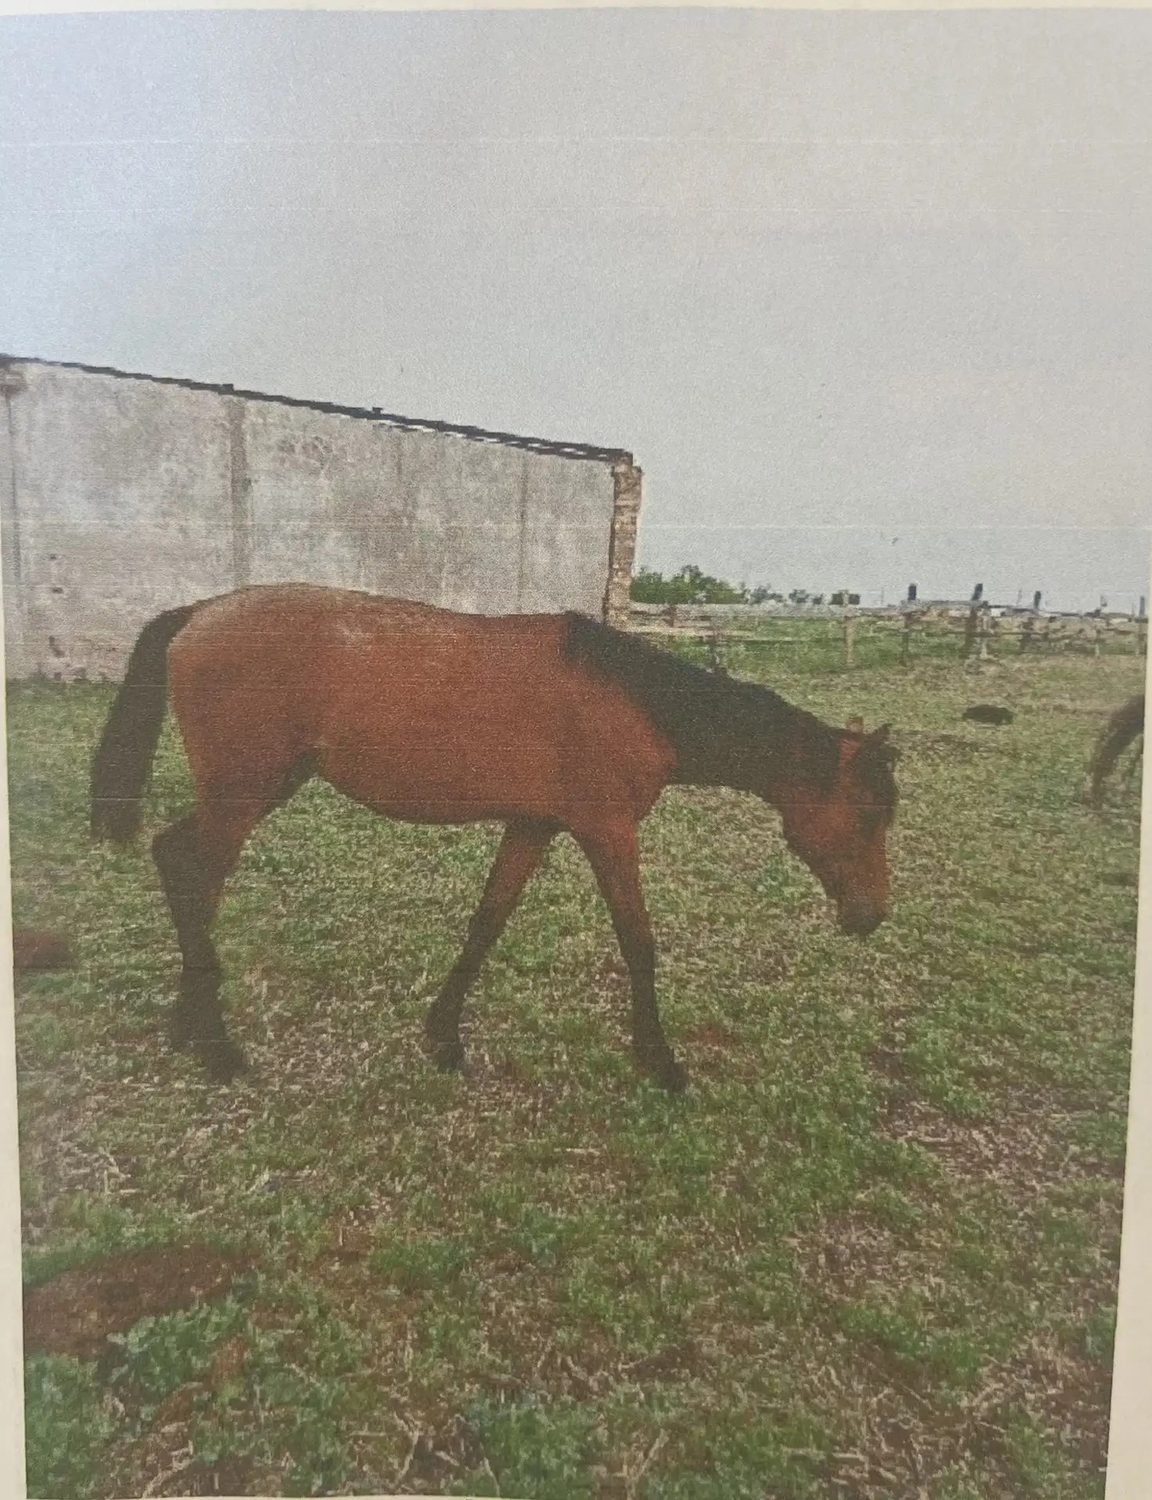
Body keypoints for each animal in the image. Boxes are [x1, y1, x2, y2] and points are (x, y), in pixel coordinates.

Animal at [89, 585, 899, 1092]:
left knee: (184, 870)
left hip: (258, 790)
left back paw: (188, 1026)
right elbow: (638, 941)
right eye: (870, 814)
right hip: (244, 794)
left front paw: (444, 1037)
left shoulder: (534, 825)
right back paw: (216, 1045)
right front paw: (660, 1061)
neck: (633, 701)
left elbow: (486, 923)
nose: (871, 916)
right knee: (191, 872)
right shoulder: (607, 831)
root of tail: (200, 614)